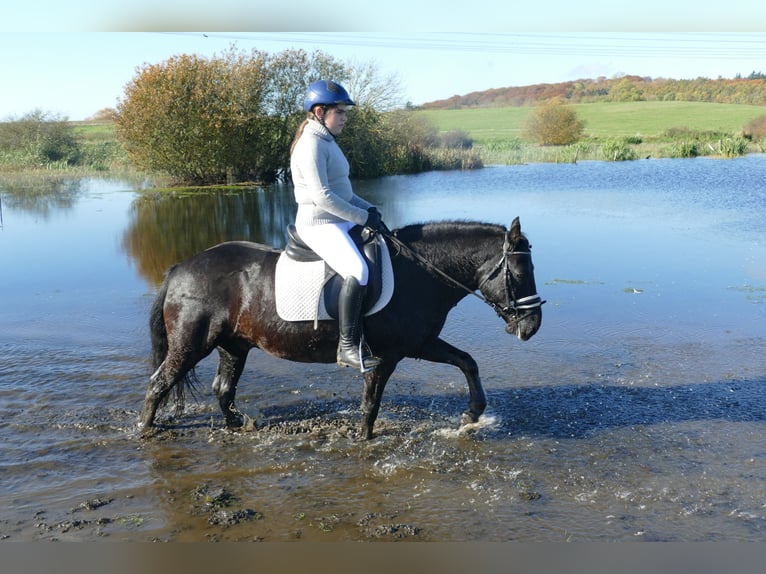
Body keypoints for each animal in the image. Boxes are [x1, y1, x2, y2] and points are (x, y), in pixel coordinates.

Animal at [140, 217, 544, 440]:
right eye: (519, 272)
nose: (532, 326)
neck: (418, 272)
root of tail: (180, 268)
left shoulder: (421, 343)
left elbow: (467, 362)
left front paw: (472, 415)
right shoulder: (386, 355)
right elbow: (370, 403)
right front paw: (364, 439)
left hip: (233, 346)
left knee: (222, 389)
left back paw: (237, 427)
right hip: (192, 345)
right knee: (159, 384)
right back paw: (146, 430)